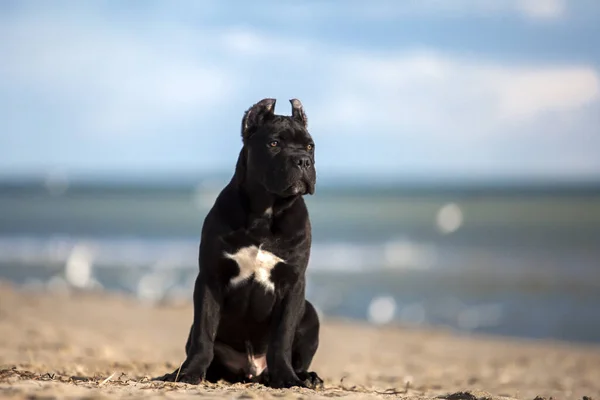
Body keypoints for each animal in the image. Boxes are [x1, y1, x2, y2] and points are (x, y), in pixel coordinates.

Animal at [155, 98, 324, 390]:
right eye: (274, 143)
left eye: (310, 146)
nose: (303, 160)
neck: (265, 213)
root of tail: (252, 369)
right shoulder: (211, 278)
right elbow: (204, 334)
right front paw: (190, 373)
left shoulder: (293, 283)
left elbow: (282, 337)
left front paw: (287, 378)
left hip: (311, 313)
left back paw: (305, 376)